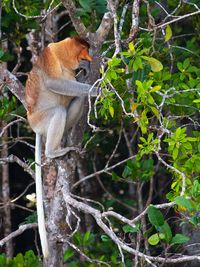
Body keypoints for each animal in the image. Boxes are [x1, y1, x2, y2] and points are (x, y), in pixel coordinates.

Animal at [25, 37, 98, 262]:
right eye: (84, 50)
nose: (88, 58)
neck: (63, 54)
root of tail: (34, 126)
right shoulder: (50, 57)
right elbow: (53, 82)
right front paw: (96, 89)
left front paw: (85, 71)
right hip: (41, 119)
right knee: (58, 110)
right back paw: (54, 152)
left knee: (75, 101)